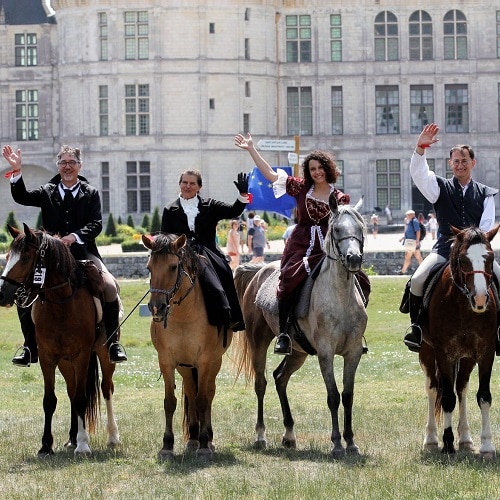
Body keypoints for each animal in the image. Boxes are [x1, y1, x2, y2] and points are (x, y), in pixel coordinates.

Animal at [0, 225, 120, 458]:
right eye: (7, 257)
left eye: (25, 257)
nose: (1, 294)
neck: (61, 303)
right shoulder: (48, 357)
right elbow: (50, 400)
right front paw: (46, 445)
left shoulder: (82, 356)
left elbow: (82, 397)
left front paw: (83, 444)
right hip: (65, 361)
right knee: (72, 393)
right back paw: (72, 438)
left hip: (102, 353)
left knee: (106, 388)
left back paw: (112, 436)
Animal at [142, 233, 233, 460]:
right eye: (149, 267)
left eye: (173, 266)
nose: (156, 307)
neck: (184, 315)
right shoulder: (167, 361)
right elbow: (170, 401)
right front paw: (167, 445)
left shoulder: (205, 360)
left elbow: (203, 400)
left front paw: (204, 445)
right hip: (185, 366)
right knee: (191, 392)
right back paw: (192, 437)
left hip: (213, 363)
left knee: (208, 393)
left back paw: (207, 438)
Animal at [233, 194, 368, 458]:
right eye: (337, 229)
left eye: (360, 229)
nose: (354, 258)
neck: (340, 296)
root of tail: (260, 270)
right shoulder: (325, 352)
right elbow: (333, 395)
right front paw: (337, 444)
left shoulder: (353, 352)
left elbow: (347, 395)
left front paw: (351, 442)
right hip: (258, 341)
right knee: (261, 383)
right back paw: (261, 435)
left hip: (298, 351)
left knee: (280, 378)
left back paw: (289, 434)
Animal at [420, 225, 498, 458]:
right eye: (463, 259)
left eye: (490, 257)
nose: (480, 299)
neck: (464, 307)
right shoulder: (443, 353)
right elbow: (447, 397)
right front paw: (447, 443)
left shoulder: (486, 353)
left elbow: (484, 397)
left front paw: (487, 445)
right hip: (426, 353)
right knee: (433, 389)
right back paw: (431, 439)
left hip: (466, 359)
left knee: (462, 388)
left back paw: (465, 438)